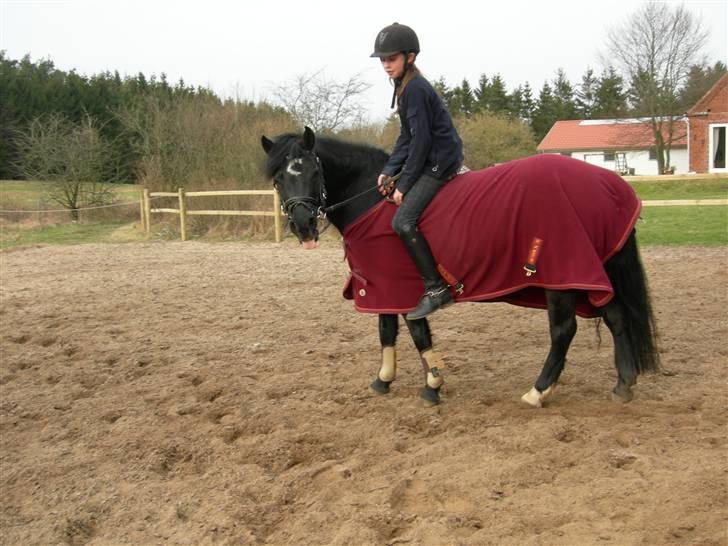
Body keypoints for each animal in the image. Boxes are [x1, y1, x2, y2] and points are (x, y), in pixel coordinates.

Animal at [260, 126, 659, 407]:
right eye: (279, 178)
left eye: (313, 171)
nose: (302, 225)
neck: (372, 200)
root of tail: (607, 184)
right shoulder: (378, 283)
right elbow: (385, 330)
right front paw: (384, 380)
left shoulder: (403, 287)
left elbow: (418, 333)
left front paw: (433, 385)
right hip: (595, 271)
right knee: (616, 316)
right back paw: (623, 384)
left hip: (561, 277)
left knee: (564, 330)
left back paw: (538, 391)